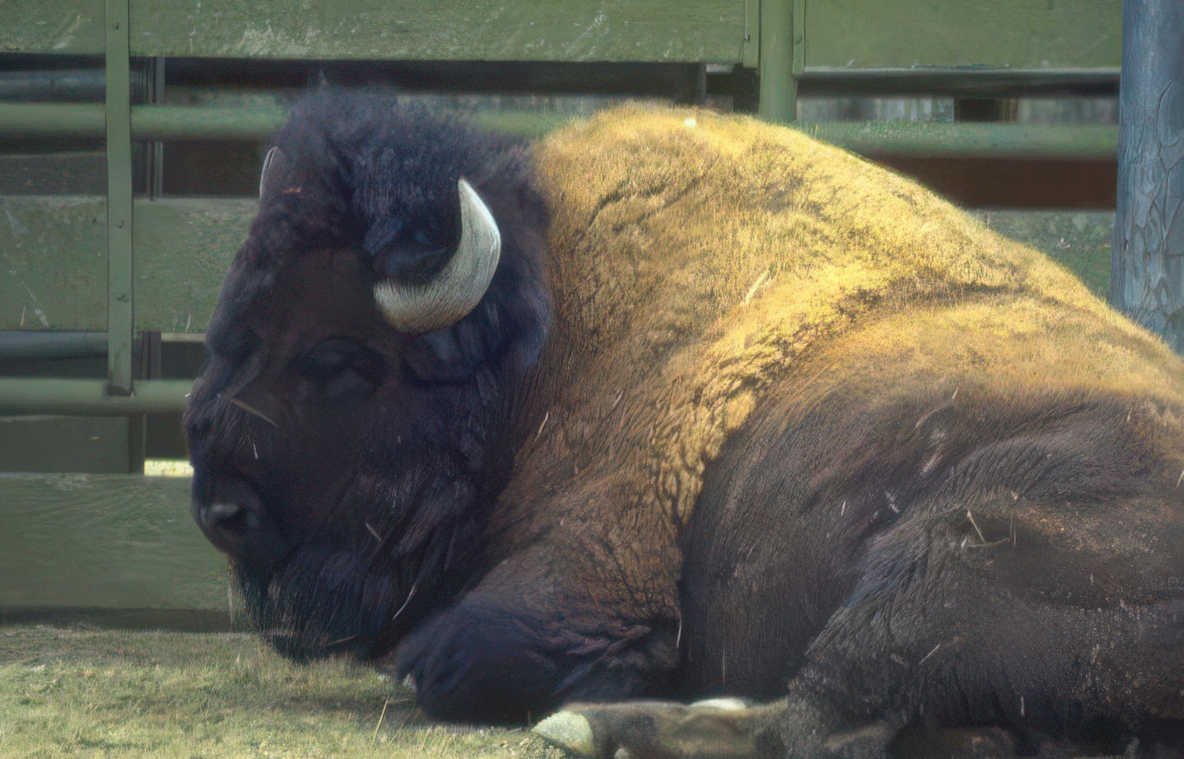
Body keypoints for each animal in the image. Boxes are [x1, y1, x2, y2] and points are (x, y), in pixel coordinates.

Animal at [187, 93, 1184, 757]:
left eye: (339, 359)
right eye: (233, 322)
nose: (219, 511)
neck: (549, 340)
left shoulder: (593, 579)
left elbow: (443, 660)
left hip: (954, 546)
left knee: (821, 720)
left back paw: (588, 725)